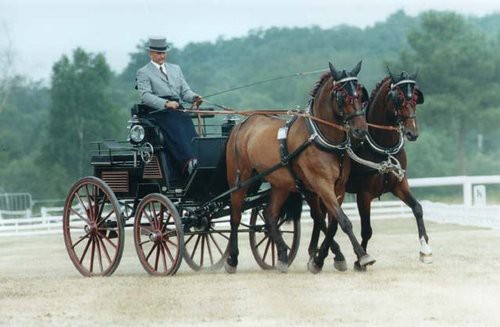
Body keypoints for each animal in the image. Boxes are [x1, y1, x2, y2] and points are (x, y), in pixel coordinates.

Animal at [226, 61, 376, 274]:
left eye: (360, 94)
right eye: (342, 96)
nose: (360, 131)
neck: (320, 136)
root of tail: (242, 123)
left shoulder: (338, 187)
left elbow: (333, 223)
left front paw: (322, 259)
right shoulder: (321, 184)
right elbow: (342, 221)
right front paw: (362, 256)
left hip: (280, 184)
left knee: (269, 215)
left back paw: (281, 256)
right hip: (240, 181)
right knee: (235, 216)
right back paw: (232, 259)